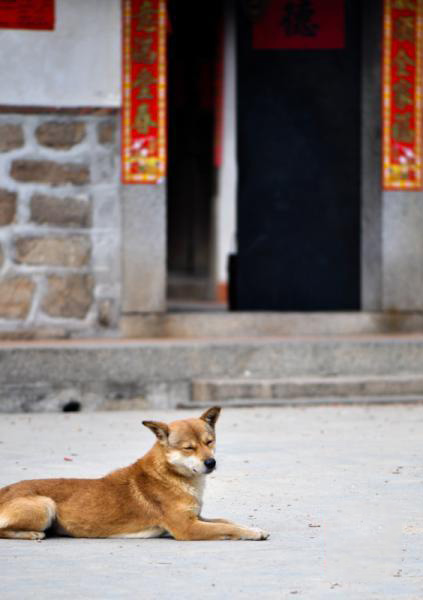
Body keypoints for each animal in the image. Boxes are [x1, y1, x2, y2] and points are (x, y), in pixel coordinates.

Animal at [0, 406, 270, 540]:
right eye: (189, 448)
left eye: (209, 442)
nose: (211, 462)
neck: (169, 476)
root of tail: (5, 490)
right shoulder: (187, 528)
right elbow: (227, 528)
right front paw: (251, 533)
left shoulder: (197, 517)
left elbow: (226, 521)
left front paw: (253, 528)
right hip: (45, 505)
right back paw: (32, 534)